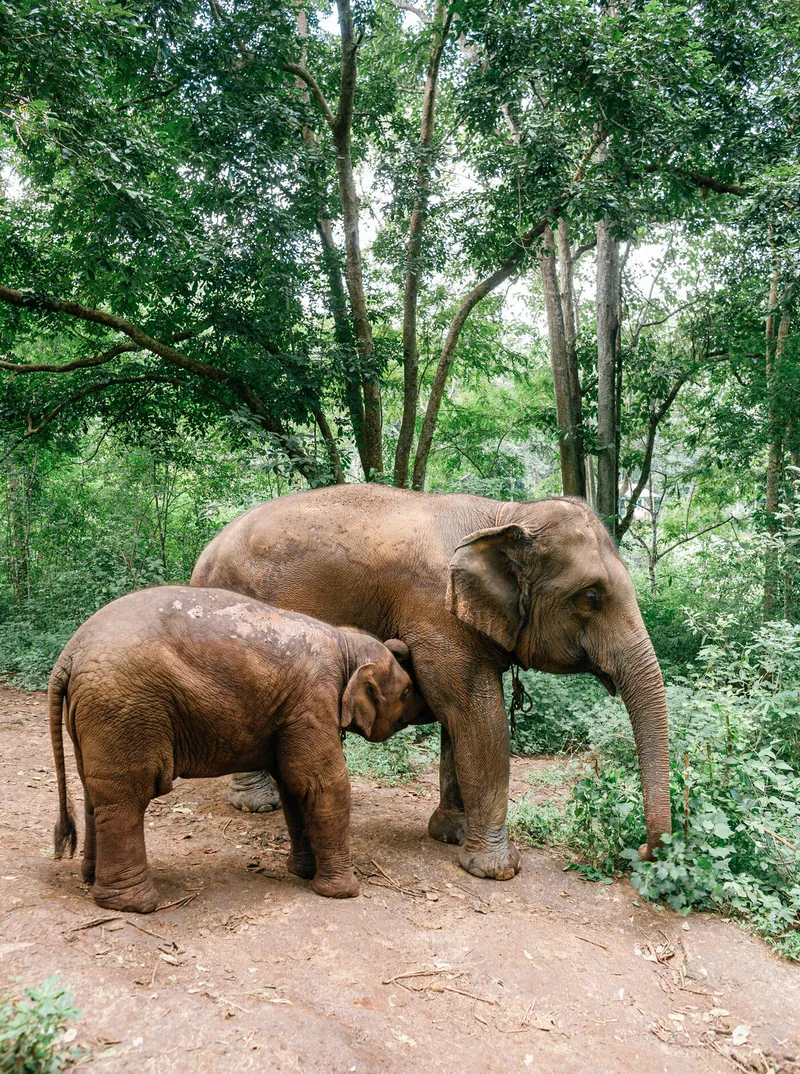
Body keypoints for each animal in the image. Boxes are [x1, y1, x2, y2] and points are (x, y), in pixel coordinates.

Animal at [49, 585, 414, 912]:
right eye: (407, 693)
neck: (345, 643)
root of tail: (69, 654)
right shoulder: (312, 701)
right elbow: (321, 784)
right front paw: (344, 892)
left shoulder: (291, 714)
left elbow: (293, 786)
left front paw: (302, 874)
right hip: (125, 710)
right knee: (126, 797)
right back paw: (136, 905)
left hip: (95, 715)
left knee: (95, 794)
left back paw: (91, 879)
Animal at [191, 486, 672, 881]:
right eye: (590, 597)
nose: (646, 851)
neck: (504, 513)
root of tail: (203, 555)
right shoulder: (434, 613)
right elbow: (475, 714)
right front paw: (496, 870)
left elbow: (458, 720)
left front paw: (451, 834)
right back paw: (258, 804)